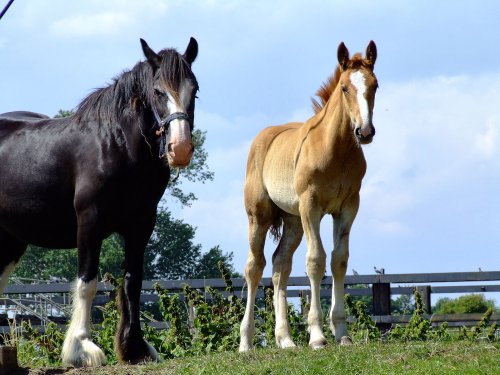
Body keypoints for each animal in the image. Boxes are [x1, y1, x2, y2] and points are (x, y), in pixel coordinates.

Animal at [0, 38, 198, 368]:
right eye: (158, 91)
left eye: (194, 90)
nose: (179, 148)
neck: (118, 146)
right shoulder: (90, 222)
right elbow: (87, 283)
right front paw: (81, 347)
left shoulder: (141, 225)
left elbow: (132, 283)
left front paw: (135, 347)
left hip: (12, 240)